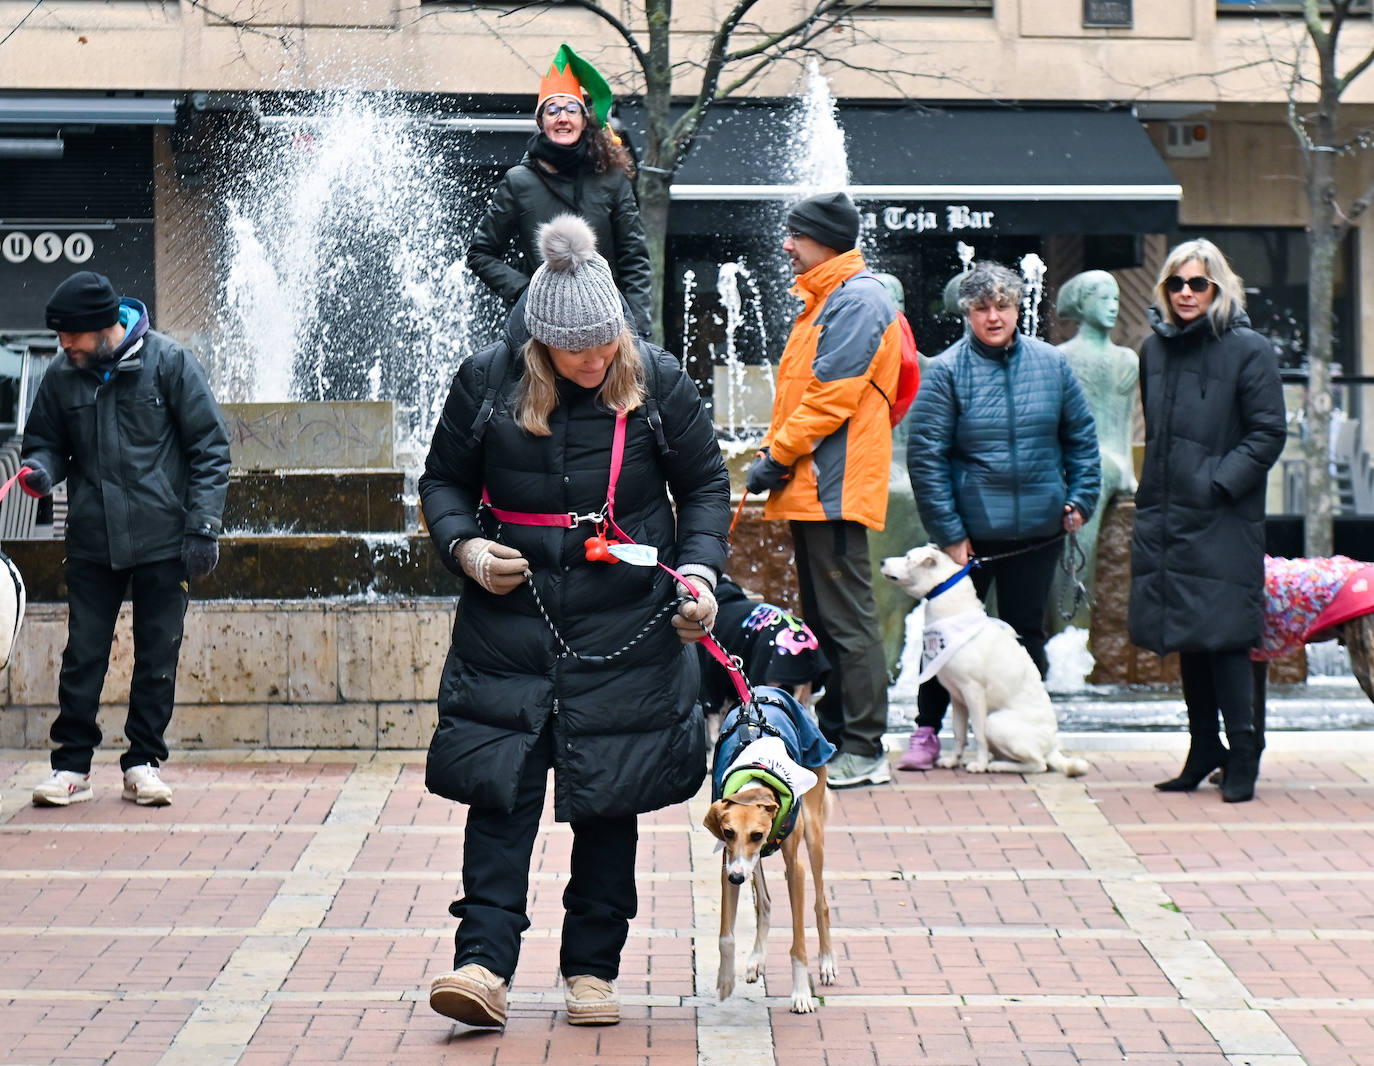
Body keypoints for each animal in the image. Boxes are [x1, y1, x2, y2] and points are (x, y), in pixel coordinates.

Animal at [884, 549, 1088, 774]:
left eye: (909, 558)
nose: (882, 561)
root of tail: (1051, 746)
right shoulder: (956, 696)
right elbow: (959, 733)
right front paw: (953, 760)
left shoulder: (973, 691)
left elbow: (979, 734)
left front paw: (979, 764)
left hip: (996, 721)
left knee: (1038, 764)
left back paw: (997, 765)